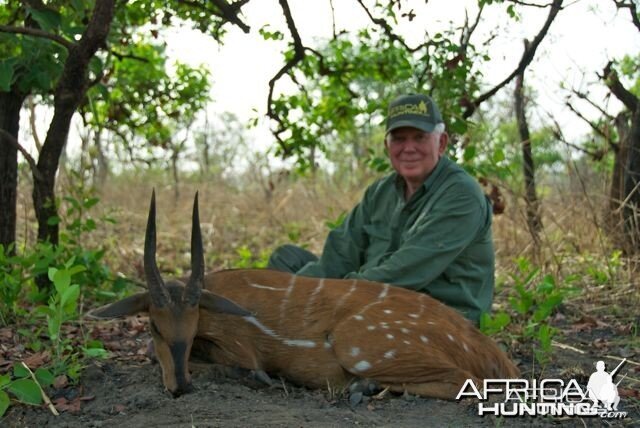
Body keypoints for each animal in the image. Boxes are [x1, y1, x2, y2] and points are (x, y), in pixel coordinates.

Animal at [91, 191, 520, 398]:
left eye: (193, 326)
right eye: (154, 327)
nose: (180, 388)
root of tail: (491, 353)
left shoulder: (240, 349)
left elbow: (238, 366)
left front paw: (261, 379)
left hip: (356, 343)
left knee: (466, 383)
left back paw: (362, 388)